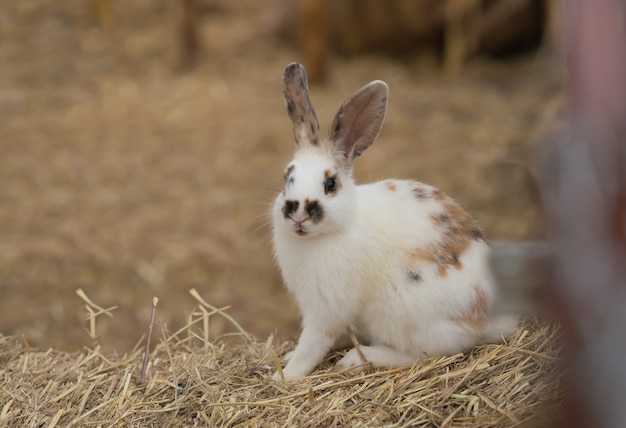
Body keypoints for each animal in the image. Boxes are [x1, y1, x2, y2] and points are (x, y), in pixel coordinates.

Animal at [270, 62, 516, 382]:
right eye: (286, 178)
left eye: (331, 184)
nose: (297, 213)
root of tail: (487, 319)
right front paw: (285, 359)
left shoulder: (326, 307)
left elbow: (312, 344)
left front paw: (284, 375)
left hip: (403, 313)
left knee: (424, 355)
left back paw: (359, 358)